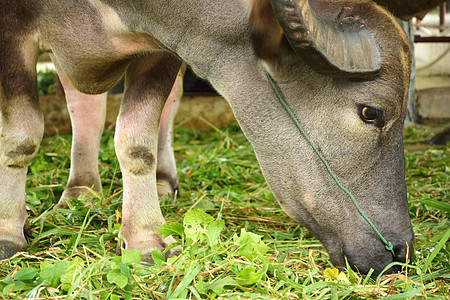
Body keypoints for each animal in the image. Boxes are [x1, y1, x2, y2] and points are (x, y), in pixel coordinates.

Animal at [0, 0, 442, 276]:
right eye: (371, 112)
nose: (400, 251)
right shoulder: (12, 32)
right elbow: (20, 136)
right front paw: (8, 231)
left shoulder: (163, 46)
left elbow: (138, 139)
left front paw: (145, 239)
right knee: (82, 105)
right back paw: (81, 191)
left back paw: (158, 184)